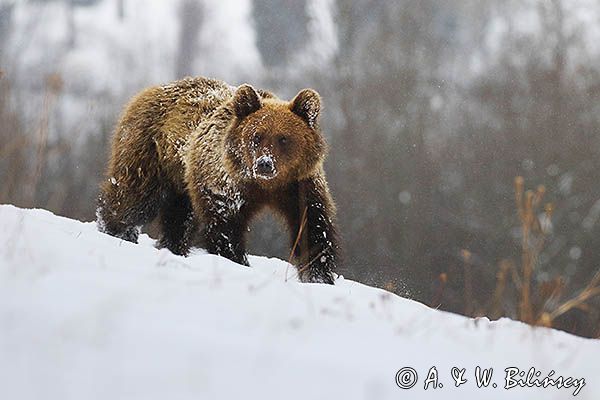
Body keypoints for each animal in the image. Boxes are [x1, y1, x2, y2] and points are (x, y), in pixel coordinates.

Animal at [94, 76, 338, 282]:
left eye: (284, 138)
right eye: (257, 136)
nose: (265, 164)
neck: (265, 186)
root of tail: (152, 89)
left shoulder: (299, 185)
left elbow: (313, 228)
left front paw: (319, 275)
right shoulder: (225, 184)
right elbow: (225, 227)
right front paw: (237, 262)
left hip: (182, 180)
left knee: (179, 217)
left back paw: (173, 247)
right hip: (149, 152)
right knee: (133, 198)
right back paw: (117, 230)